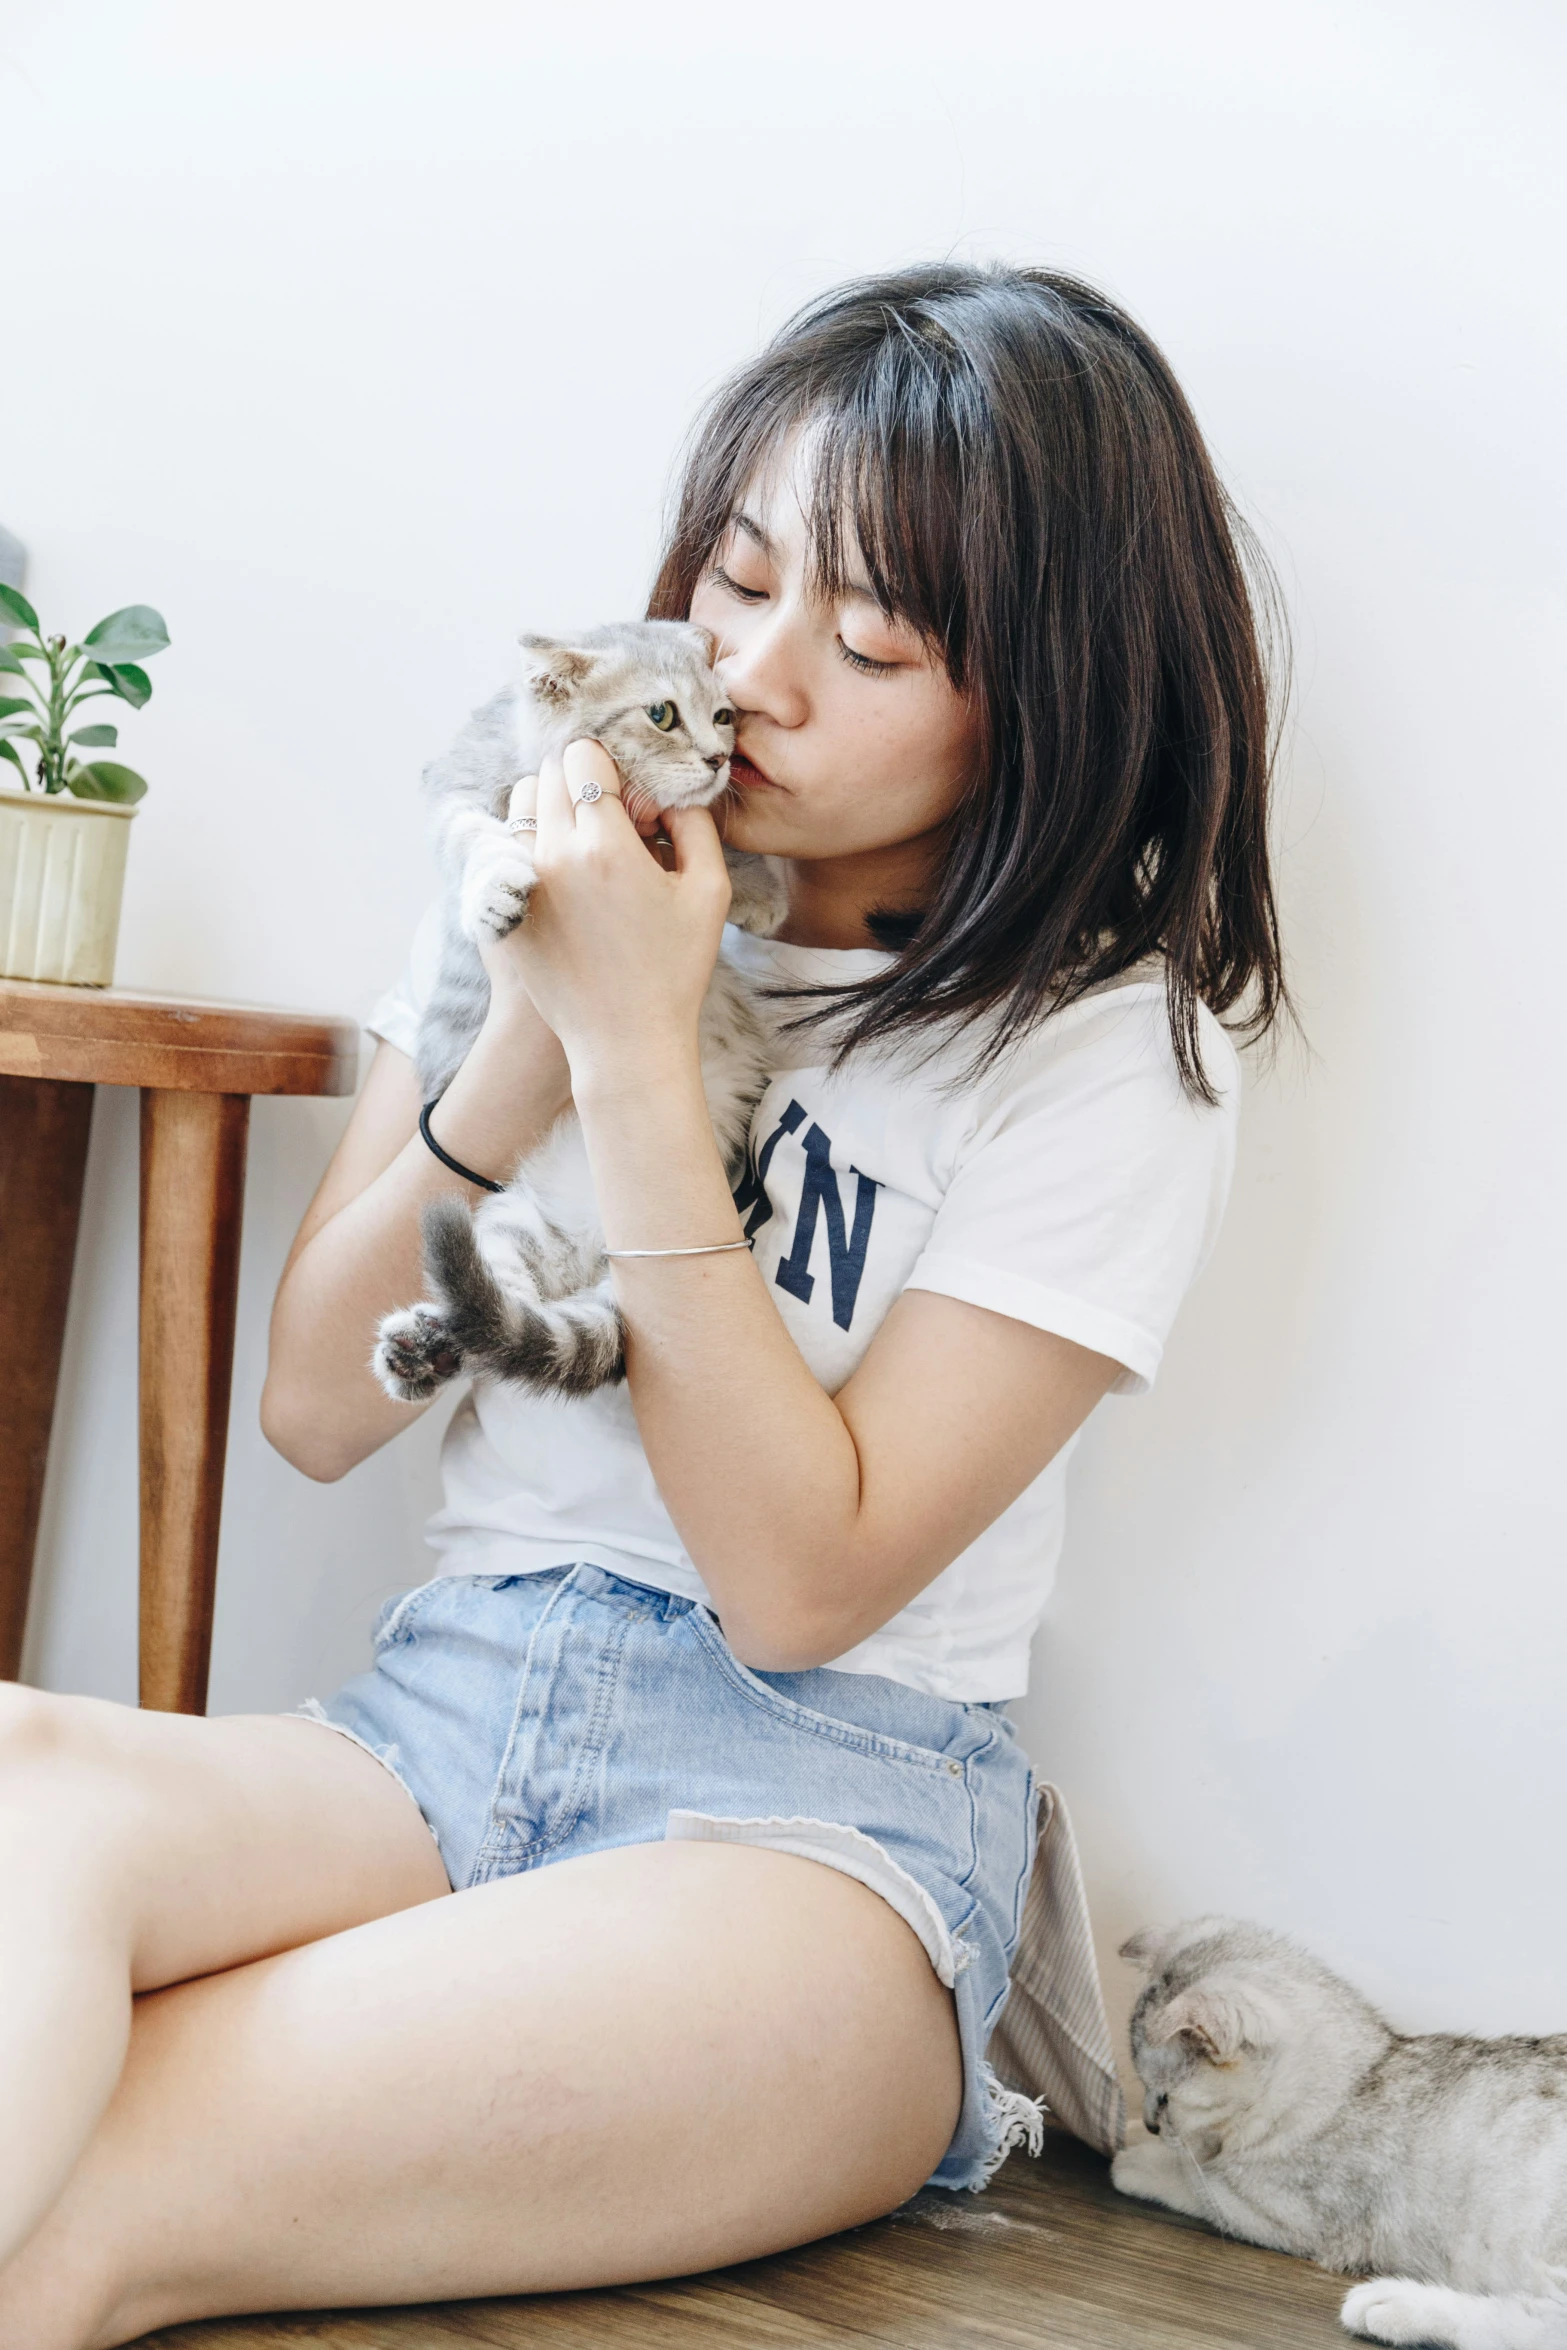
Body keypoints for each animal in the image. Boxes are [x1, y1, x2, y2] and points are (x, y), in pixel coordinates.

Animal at [368, 615, 784, 1400]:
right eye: (661, 714)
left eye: (724, 715)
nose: (720, 759)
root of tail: (601, 1250)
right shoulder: (456, 787)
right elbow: (473, 835)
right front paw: (495, 885)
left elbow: (715, 842)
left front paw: (762, 889)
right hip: (517, 1221)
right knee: (504, 1307)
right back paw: (423, 1348)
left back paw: (428, 1347)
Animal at [1113, 1917, 1567, 2340]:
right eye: (1145, 2090)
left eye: (1164, 2098)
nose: (1151, 2123)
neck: (1351, 2083)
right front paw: (1125, 2129)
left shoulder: (1282, 2213)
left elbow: (1190, 2178)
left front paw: (1133, 2160)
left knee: (1541, 2325)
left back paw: (1392, 2305)